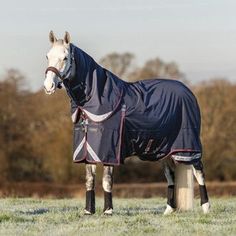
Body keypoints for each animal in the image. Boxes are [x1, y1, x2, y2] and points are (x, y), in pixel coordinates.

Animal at [43, 31, 209, 216]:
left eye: (65, 57)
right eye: (47, 56)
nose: (48, 86)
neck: (96, 100)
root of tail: (189, 93)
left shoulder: (109, 150)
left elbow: (107, 180)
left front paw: (108, 211)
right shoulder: (88, 150)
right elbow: (90, 180)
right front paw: (88, 211)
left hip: (188, 147)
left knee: (199, 171)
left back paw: (206, 208)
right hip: (164, 150)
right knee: (171, 175)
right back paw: (168, 210)